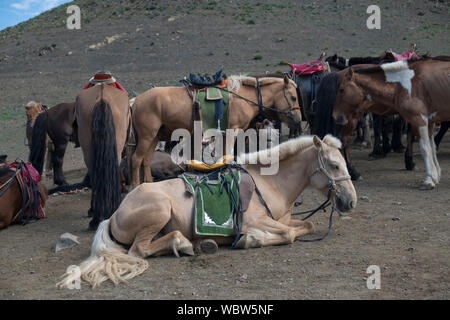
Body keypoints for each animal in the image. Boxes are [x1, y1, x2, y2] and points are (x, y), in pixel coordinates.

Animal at [57, 134, 358, 288]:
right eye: (334, 165)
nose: (350, 202)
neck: (269, 183)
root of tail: (115, 214)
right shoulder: (254, 221)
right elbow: (287, 234)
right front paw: (252, 240)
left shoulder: (286, 219)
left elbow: (308, 226)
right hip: (159, 209)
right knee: (140, 249)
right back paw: (185, 243)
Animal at [130, 74, 298, 190]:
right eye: (293, 97)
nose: (297, 118)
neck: (243, 98)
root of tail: (136, 101)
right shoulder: (233, 131)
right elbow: (227, 155)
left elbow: (222, 157)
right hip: (146, 136)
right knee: (136, 159)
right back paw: (136, 187)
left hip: (155, 136)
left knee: (146, 160)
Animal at [322, 57, 448, 189]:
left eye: (341, 90)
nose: (335, 115)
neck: (404, 82)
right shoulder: (423, 120)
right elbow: (428, 147)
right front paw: (431, 177)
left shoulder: (423, 119)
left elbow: (428, 147)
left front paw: (431, 178)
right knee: (343, 140)